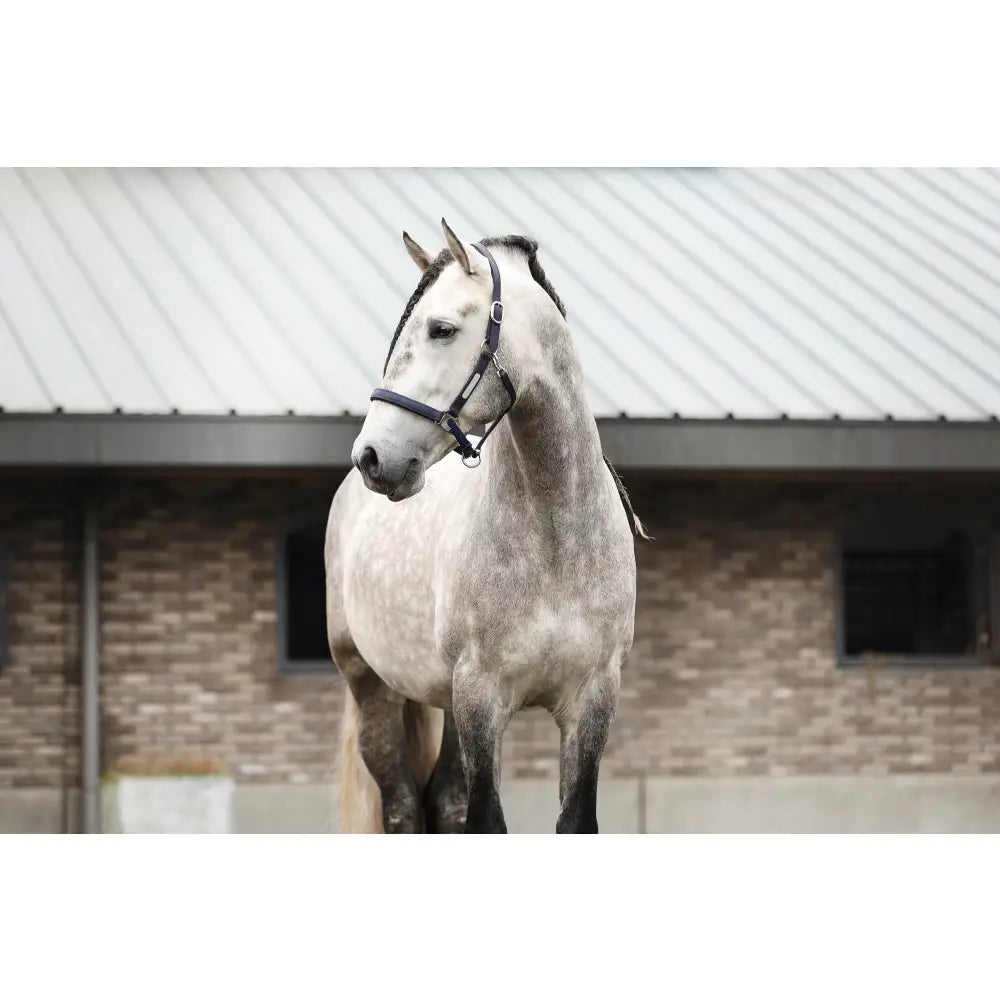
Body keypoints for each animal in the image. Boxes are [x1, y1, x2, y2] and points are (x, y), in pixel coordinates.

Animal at [325, 218, 646, 833]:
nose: (374, 457)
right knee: (403, 807)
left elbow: (575, 819)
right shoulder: (481, 696)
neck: (555, 540)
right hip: (373, 685)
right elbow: (485, 820)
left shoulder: (593, 699)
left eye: (442, 329)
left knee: (442, 802)